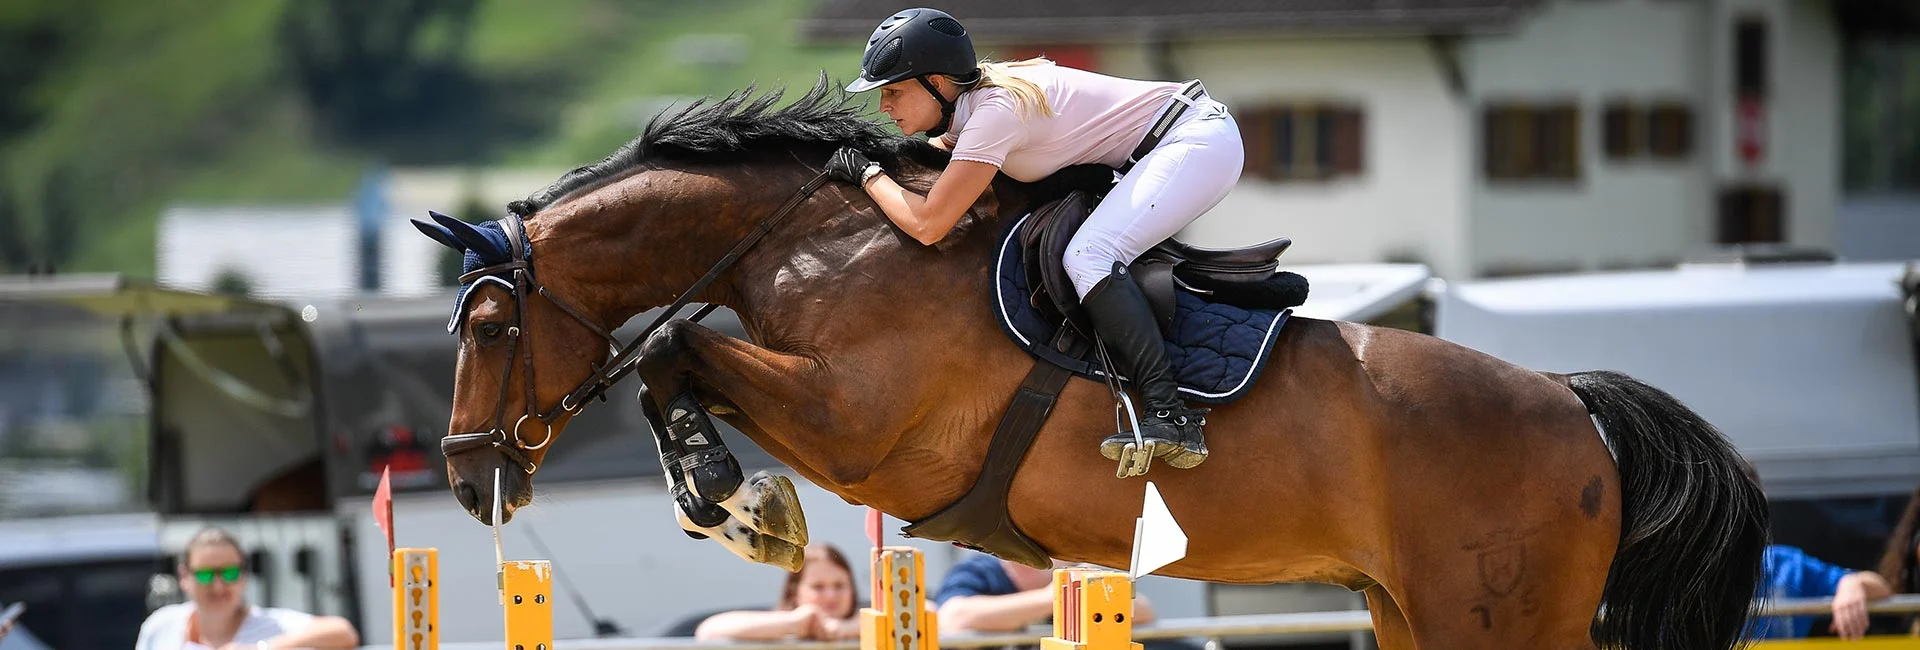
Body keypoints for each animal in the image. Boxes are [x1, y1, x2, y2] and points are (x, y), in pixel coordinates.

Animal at [412, 79, 1768, 650]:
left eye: (488, 328)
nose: (470, 476)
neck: (816, 240)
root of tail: (1576, 410)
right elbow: (674, 354)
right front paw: (731, 498)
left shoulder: (865, 427)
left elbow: (677, 344)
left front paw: (737, 501)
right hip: (1407, 611)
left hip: (1499, 615)